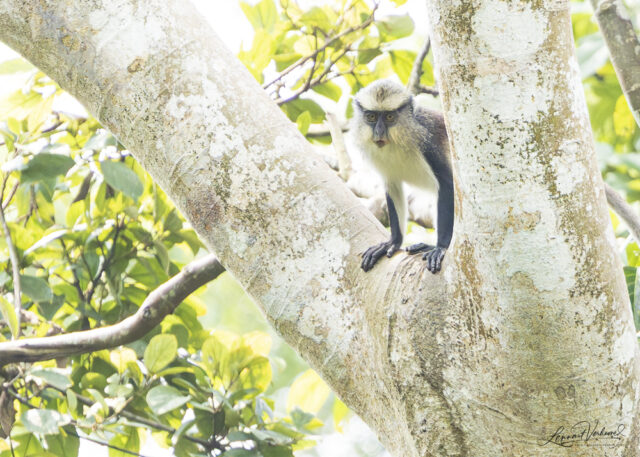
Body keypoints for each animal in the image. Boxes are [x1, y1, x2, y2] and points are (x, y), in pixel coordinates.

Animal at [350, 79, 454, 274]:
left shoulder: (429, 144)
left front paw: (441, 247)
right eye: (372, 117)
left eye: (390, 117)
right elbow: (393, 187)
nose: (379, 133)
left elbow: (447, 183)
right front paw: (392, 242)